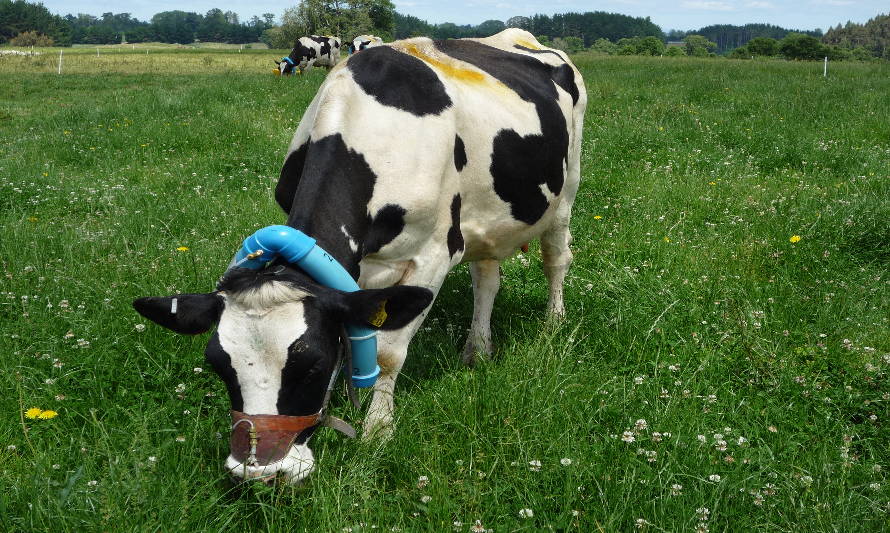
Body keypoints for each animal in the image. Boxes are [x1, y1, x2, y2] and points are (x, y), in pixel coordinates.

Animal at [135, 29, 588, 486]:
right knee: (487, 279)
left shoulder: (433, 255)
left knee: (556, 259)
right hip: (487, 219)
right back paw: (477, 349)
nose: (263, 472)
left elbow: (388, 353)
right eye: (218, 365)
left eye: (312, 365)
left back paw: (552, 324)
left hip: (566, 190)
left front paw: (377, 429)